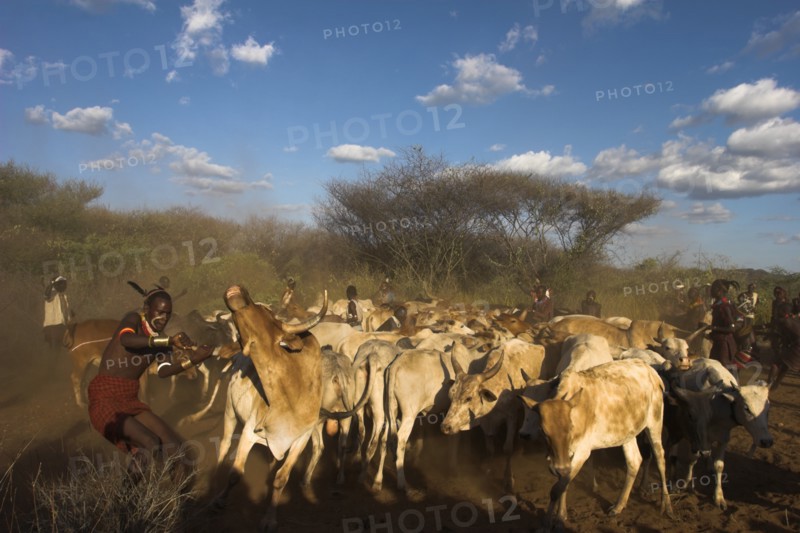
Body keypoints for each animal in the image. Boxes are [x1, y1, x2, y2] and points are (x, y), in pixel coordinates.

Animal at [520, 359, 673, 529]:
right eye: (544, 430)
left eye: (570, 427)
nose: (525, 434)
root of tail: (649, 369)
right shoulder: (562, 460)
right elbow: (562, 485)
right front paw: (561, 516)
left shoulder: (582, 452)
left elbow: (557, 488)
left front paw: (550, 522)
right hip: (628, 433)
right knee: (634, 461)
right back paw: (619, 506)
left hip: (654, 423)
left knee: (660, 460)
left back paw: (666, 505)